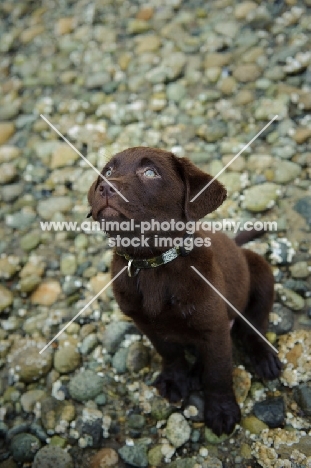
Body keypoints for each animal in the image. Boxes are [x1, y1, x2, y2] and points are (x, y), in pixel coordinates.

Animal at [88, 147, 282, 436]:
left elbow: (218, 372)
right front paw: (175, 380)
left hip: (260, 272)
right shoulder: (147, 324)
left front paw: (222, 410)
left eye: (150, 173)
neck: (153, 263)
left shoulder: (214, 328)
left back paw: (264, 357)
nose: (105, 186)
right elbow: (169, 353)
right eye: (108, 171)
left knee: (255, 325)